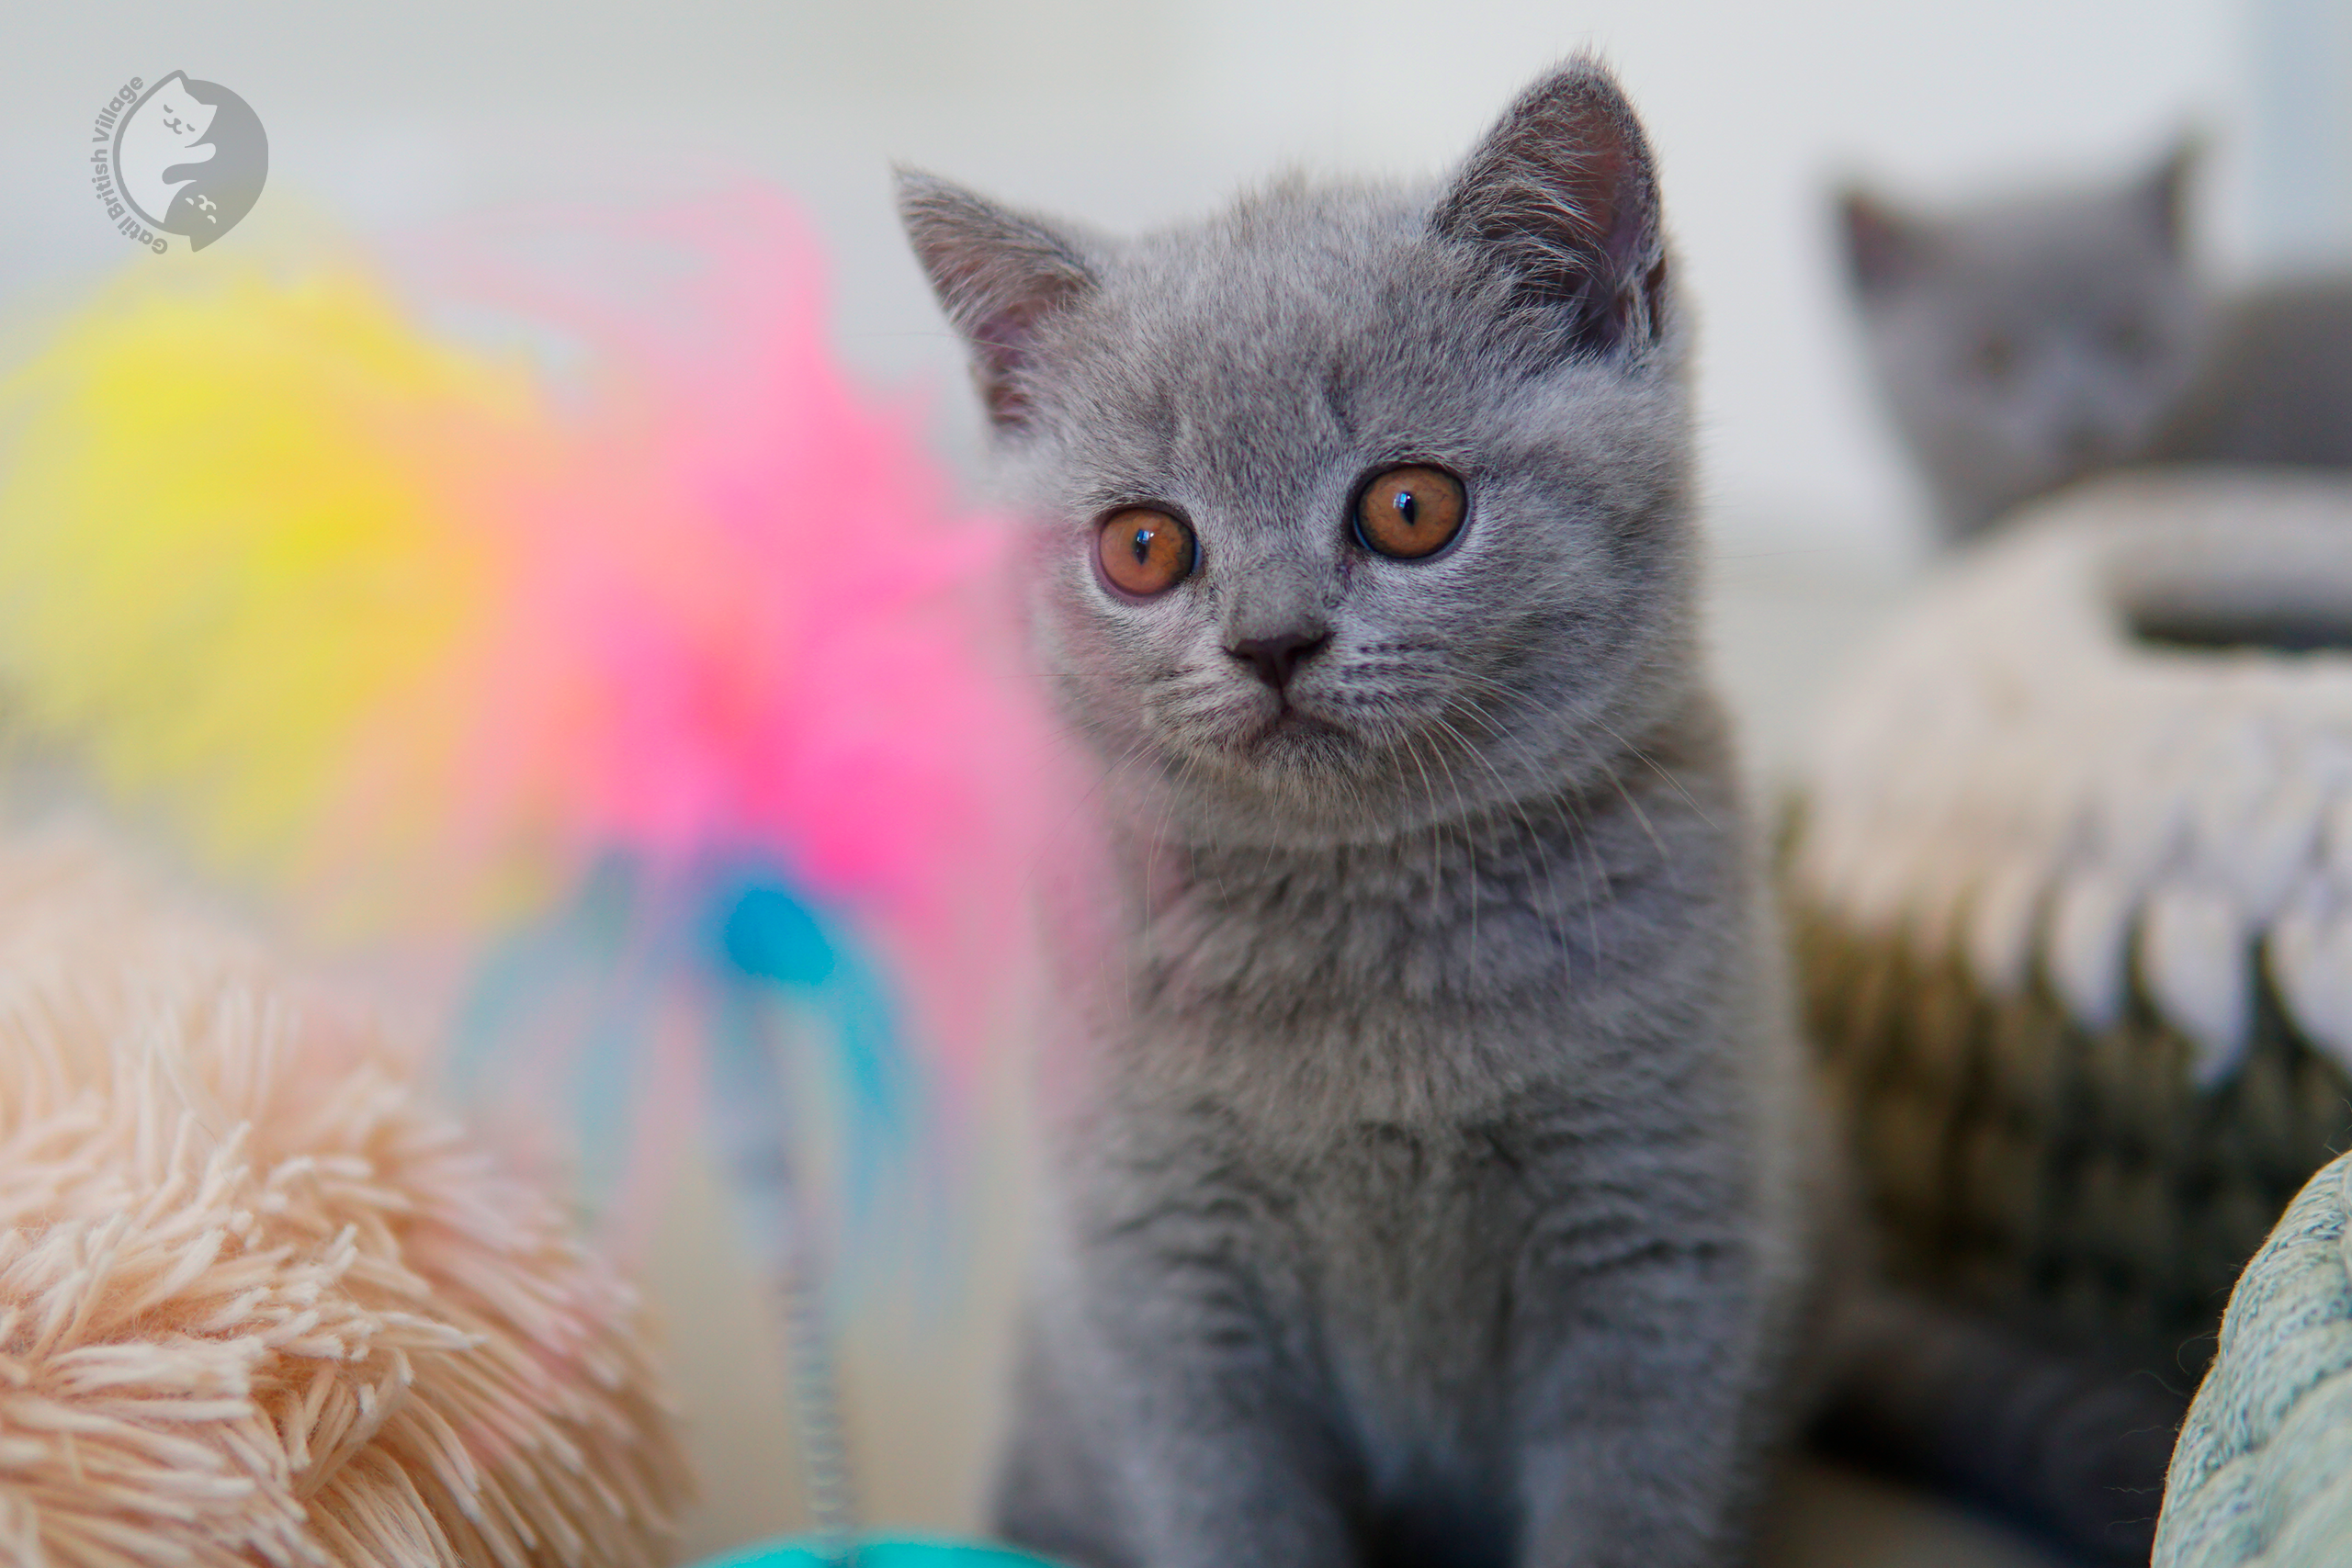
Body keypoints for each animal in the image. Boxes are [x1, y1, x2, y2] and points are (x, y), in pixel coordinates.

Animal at [898, 61, 1815, 1568]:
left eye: (1409, 508)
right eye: (1143, 546)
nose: (1273, 639)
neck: (1358, 909)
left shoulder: (1657, 1248)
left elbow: (1628, 1500)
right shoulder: (1163, 1277)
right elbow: (1228, 1506)